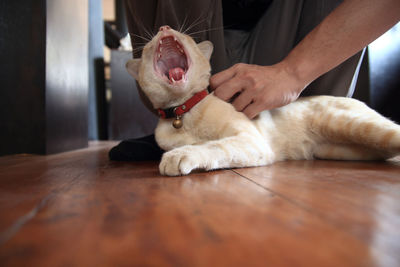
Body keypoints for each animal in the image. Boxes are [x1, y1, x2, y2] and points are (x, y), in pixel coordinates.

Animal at [126, 24, 400, 176]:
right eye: (149, 46)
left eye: (187, 37)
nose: (164, 27)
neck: (183, 113)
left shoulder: (249, 140)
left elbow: (211, 146)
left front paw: (179, 156)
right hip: (347, 149)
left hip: (351, 125)